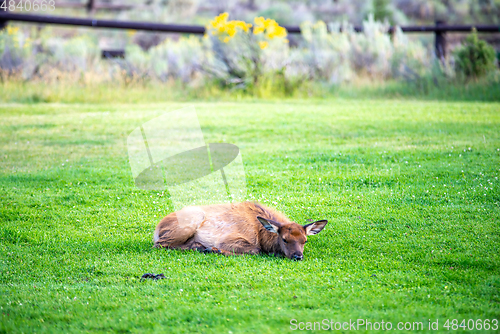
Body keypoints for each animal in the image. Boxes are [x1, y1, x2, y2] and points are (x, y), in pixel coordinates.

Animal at [153, 201, 328, 260]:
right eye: (284, 239)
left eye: (305, 240)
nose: (298, 256)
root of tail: (157, 228)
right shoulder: (229, 239)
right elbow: (256, 250)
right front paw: (215, 249)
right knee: (160, 244)